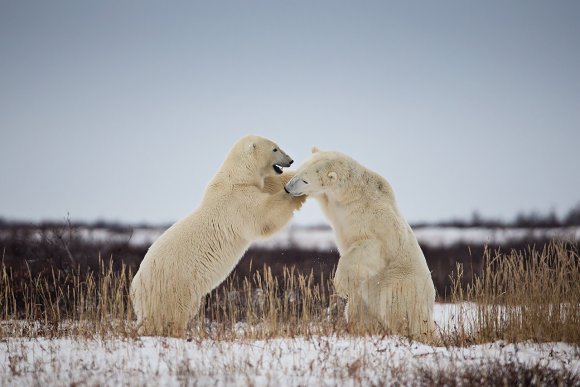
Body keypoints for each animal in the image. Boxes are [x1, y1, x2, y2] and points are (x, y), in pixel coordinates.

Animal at [130, 136, 306, 336]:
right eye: (275, 149)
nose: (291, 160)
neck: (236, 176)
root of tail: (135, 289)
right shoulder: (237, 201)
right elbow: (264, 215)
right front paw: (292, 193)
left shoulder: (252, 185)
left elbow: (271, 184)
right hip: (172, 288)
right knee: (168, 316)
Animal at [286, 149, 436, 340]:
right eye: (299, 170)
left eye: (305, 180)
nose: (287, 188)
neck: (353, 193)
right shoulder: (337, 205)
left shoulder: (376, 220)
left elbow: (370, 245)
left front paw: (341, 285)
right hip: (365, 299)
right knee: (358, 314)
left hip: (399, 284)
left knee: (400, 311)